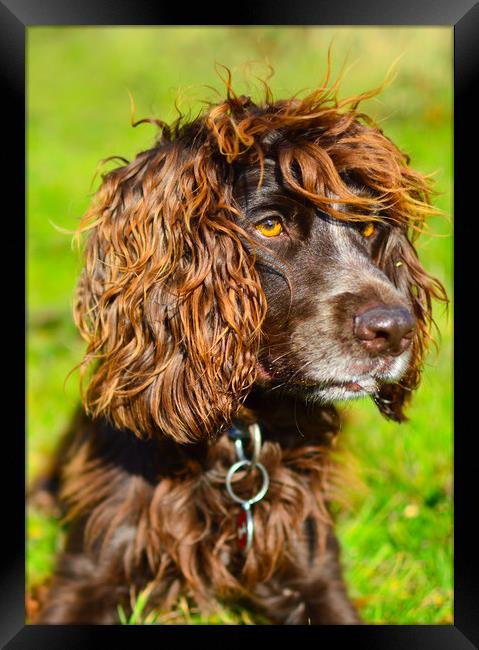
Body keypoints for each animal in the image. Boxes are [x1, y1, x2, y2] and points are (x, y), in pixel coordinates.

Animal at [34, 74, 450, 624]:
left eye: (367, 226)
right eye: (269, 225)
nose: (395, 329)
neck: (238, 434)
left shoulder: (313, 568)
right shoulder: (89, 567)